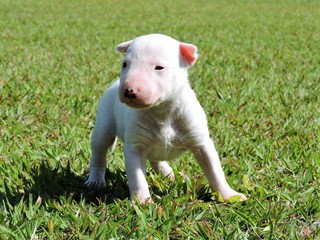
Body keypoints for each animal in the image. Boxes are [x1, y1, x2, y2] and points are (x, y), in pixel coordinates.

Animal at [84, 33, 246, 202]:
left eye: (159, 67)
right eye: (125, 64)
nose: (128, 90)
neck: (162, 111)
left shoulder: (201, 142)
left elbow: (215, 171)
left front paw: (230, 195)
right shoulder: (135, 147)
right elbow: (137, 177)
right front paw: (142, 201)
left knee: (155, 159)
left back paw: (168, 175)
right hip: (103, 126)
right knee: (99, 153)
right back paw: (95, 180)